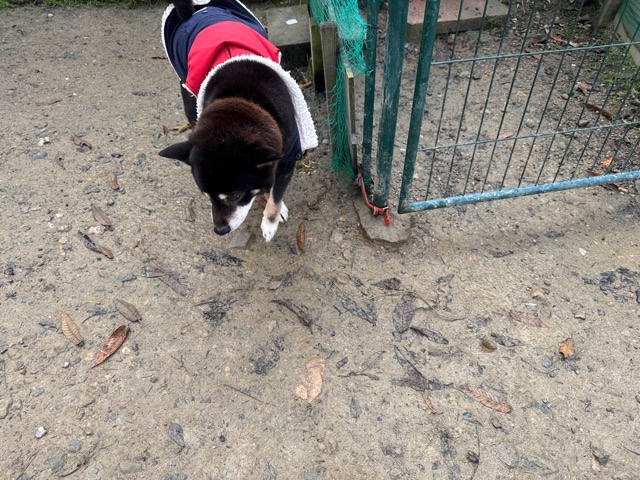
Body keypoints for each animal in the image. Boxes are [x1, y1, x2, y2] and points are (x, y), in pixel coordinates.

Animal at [159, 0, 317, 241]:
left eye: (234, 195)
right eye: (206, 195)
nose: (219, 230)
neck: (242, 102)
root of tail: (196, 9)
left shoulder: (287, 156)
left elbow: (276, 192)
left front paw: (270, 221)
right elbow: (267, 186)